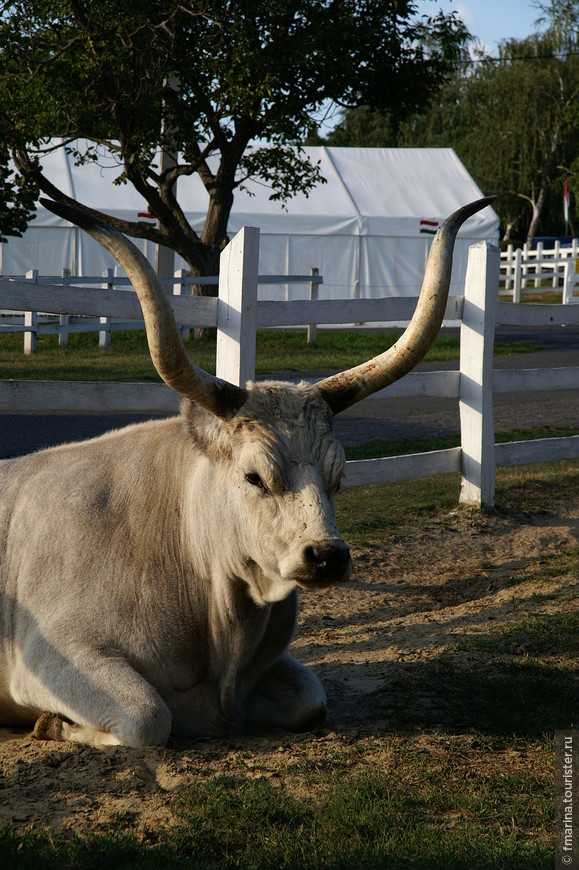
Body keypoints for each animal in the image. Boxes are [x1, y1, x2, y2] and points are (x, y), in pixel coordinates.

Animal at [0, 198, 494, 748]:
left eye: (340, 477)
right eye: (254, 477)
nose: (328, 556)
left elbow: (311, 701)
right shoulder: (53, 655)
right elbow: (149, 717)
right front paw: (54, 723)